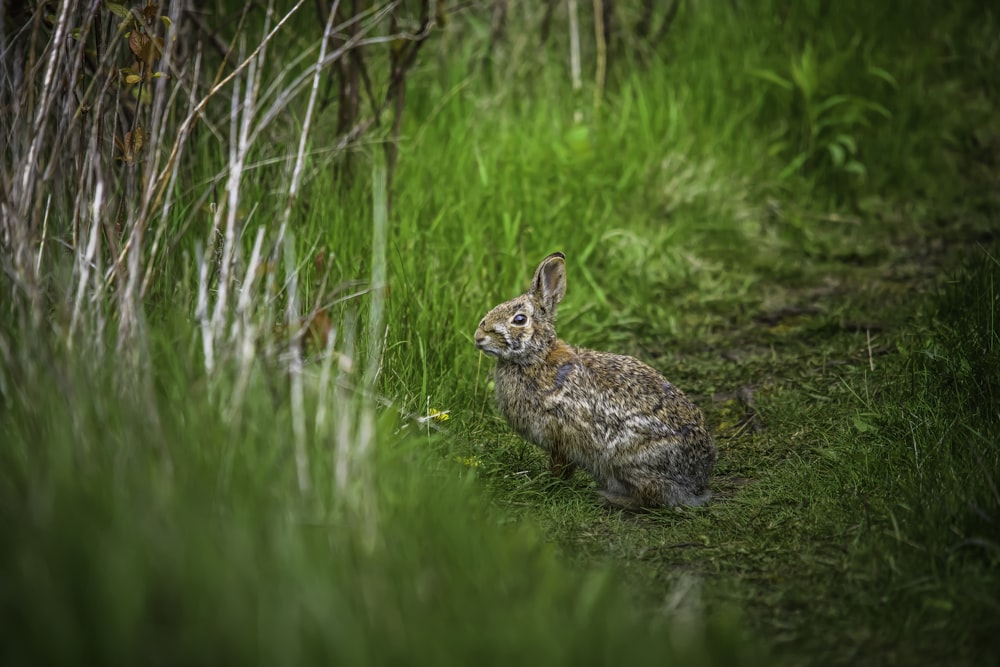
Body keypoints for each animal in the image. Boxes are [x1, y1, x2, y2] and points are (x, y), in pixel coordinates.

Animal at [474, 253, 716, 508]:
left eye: (519, 319)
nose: (479, 337)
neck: (536, 358)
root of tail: (697, 482)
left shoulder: (561, 436)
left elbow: (561, 466)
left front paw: (550, 483)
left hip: (625, 459)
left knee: (651, 497)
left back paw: (609, 496)